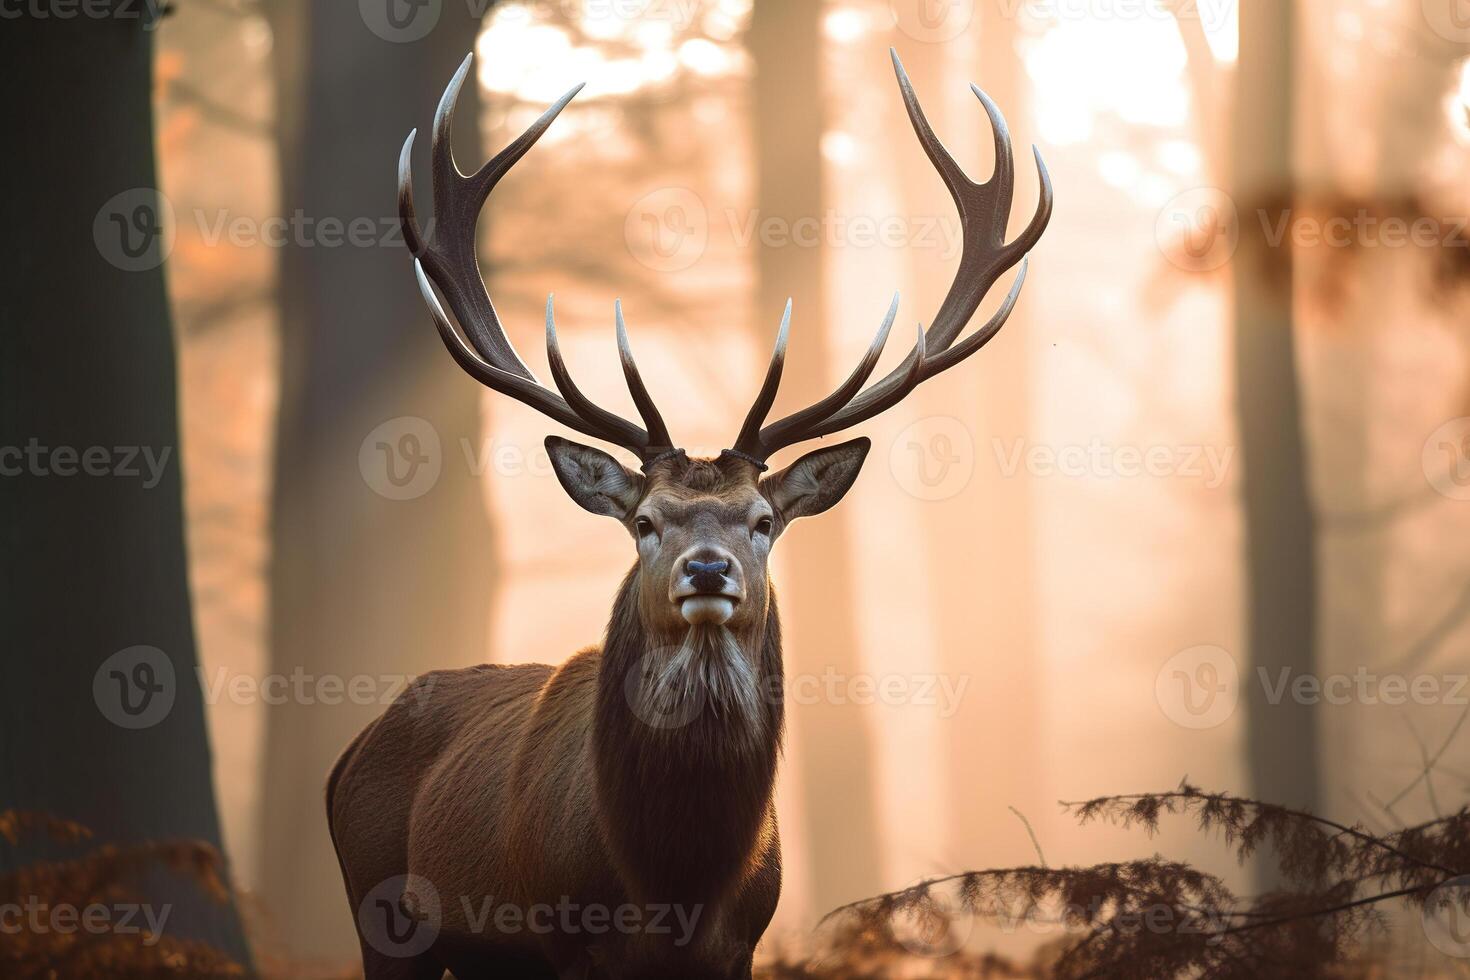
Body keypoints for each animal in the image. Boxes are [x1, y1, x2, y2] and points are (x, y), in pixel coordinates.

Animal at [327, 49, 1052, 980]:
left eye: (763, 521)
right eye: (645, 522)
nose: (708, 569)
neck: (673, 881)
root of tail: (348, 756)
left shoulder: (742, 942)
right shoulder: (564, 947)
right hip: (381, 911)